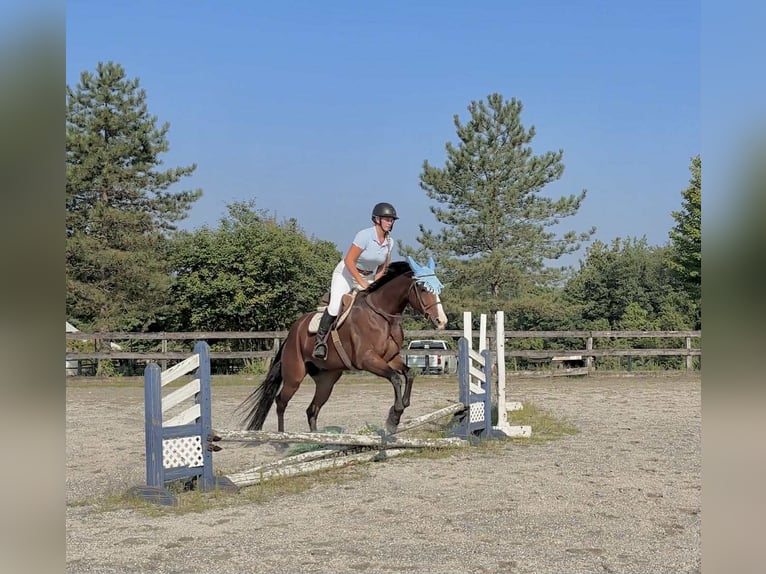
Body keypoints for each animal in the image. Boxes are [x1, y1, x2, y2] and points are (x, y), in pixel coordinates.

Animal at [238, 257, 448, 434]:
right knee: (281, 402)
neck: (382, 316)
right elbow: (396, 378)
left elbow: (409, 374)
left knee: (312, 409)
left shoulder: (390, 358)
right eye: (423, 288)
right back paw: (282, 438)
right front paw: (394, 416)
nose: (441, 321)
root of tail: (291, 333)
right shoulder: (368, 359)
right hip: (294, 377)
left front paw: (400, 408)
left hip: (327, 380)